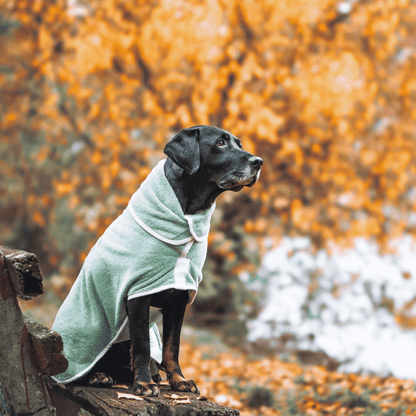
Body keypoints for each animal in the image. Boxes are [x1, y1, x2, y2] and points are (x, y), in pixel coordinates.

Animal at [85, 126, 262, 396]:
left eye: (238, 144)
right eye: (220, 143)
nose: (258, 162)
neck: (187, 212)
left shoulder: (179, 297)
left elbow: (172, 346)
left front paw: (179, 380)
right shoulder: (137, 294)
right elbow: (142, 345)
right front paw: (143, 384)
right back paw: (100, 375)